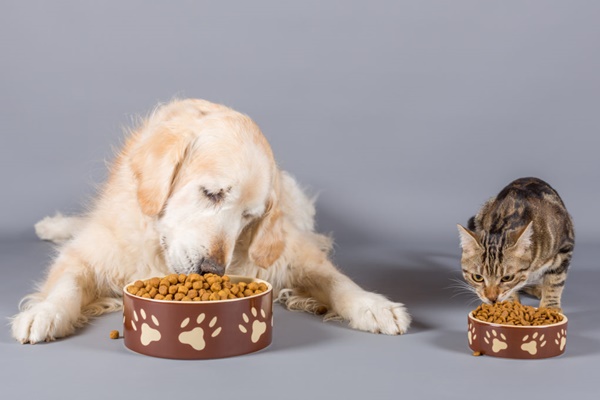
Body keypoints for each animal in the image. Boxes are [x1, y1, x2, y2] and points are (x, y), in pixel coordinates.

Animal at [11, 97, 410, 344]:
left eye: (250, 216)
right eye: (212, 193)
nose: (212, 270)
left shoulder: (291, 256)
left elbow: (337, 281)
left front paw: (375, 307)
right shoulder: (90, 254)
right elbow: (66, 284)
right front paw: (44, 314)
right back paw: (53, 225)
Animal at [458, 177, 576, 310]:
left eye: (507, 278)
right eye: (477, 277)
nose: (492, 298)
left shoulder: (565, 246)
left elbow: (555, 281)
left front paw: (550, 307)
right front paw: (509, 304)